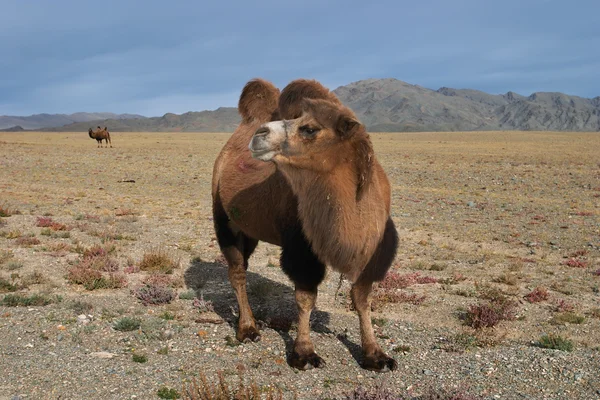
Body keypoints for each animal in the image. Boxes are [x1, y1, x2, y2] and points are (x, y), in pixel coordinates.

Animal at [211, 78, 398, 372]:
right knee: (237, 271)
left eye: (310, 128)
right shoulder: (301, 247)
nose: (259, 135)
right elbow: (305, 297)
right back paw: (248, 329)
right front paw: (304, 353)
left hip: (249, 230)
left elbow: (362, 297)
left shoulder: (371, 248)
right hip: (224, 219)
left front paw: (375, 354)